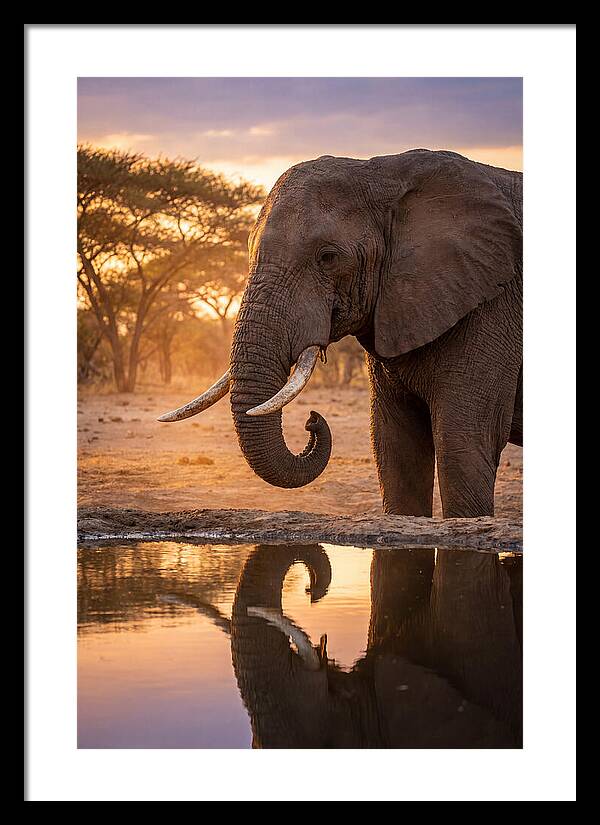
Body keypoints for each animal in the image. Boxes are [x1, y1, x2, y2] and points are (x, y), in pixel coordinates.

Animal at [160, 149, 522, 518]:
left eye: (328, 257)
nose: (312, 420)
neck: (387, 173)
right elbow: (395, 447)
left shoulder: (493, 304)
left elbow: (463, 443)